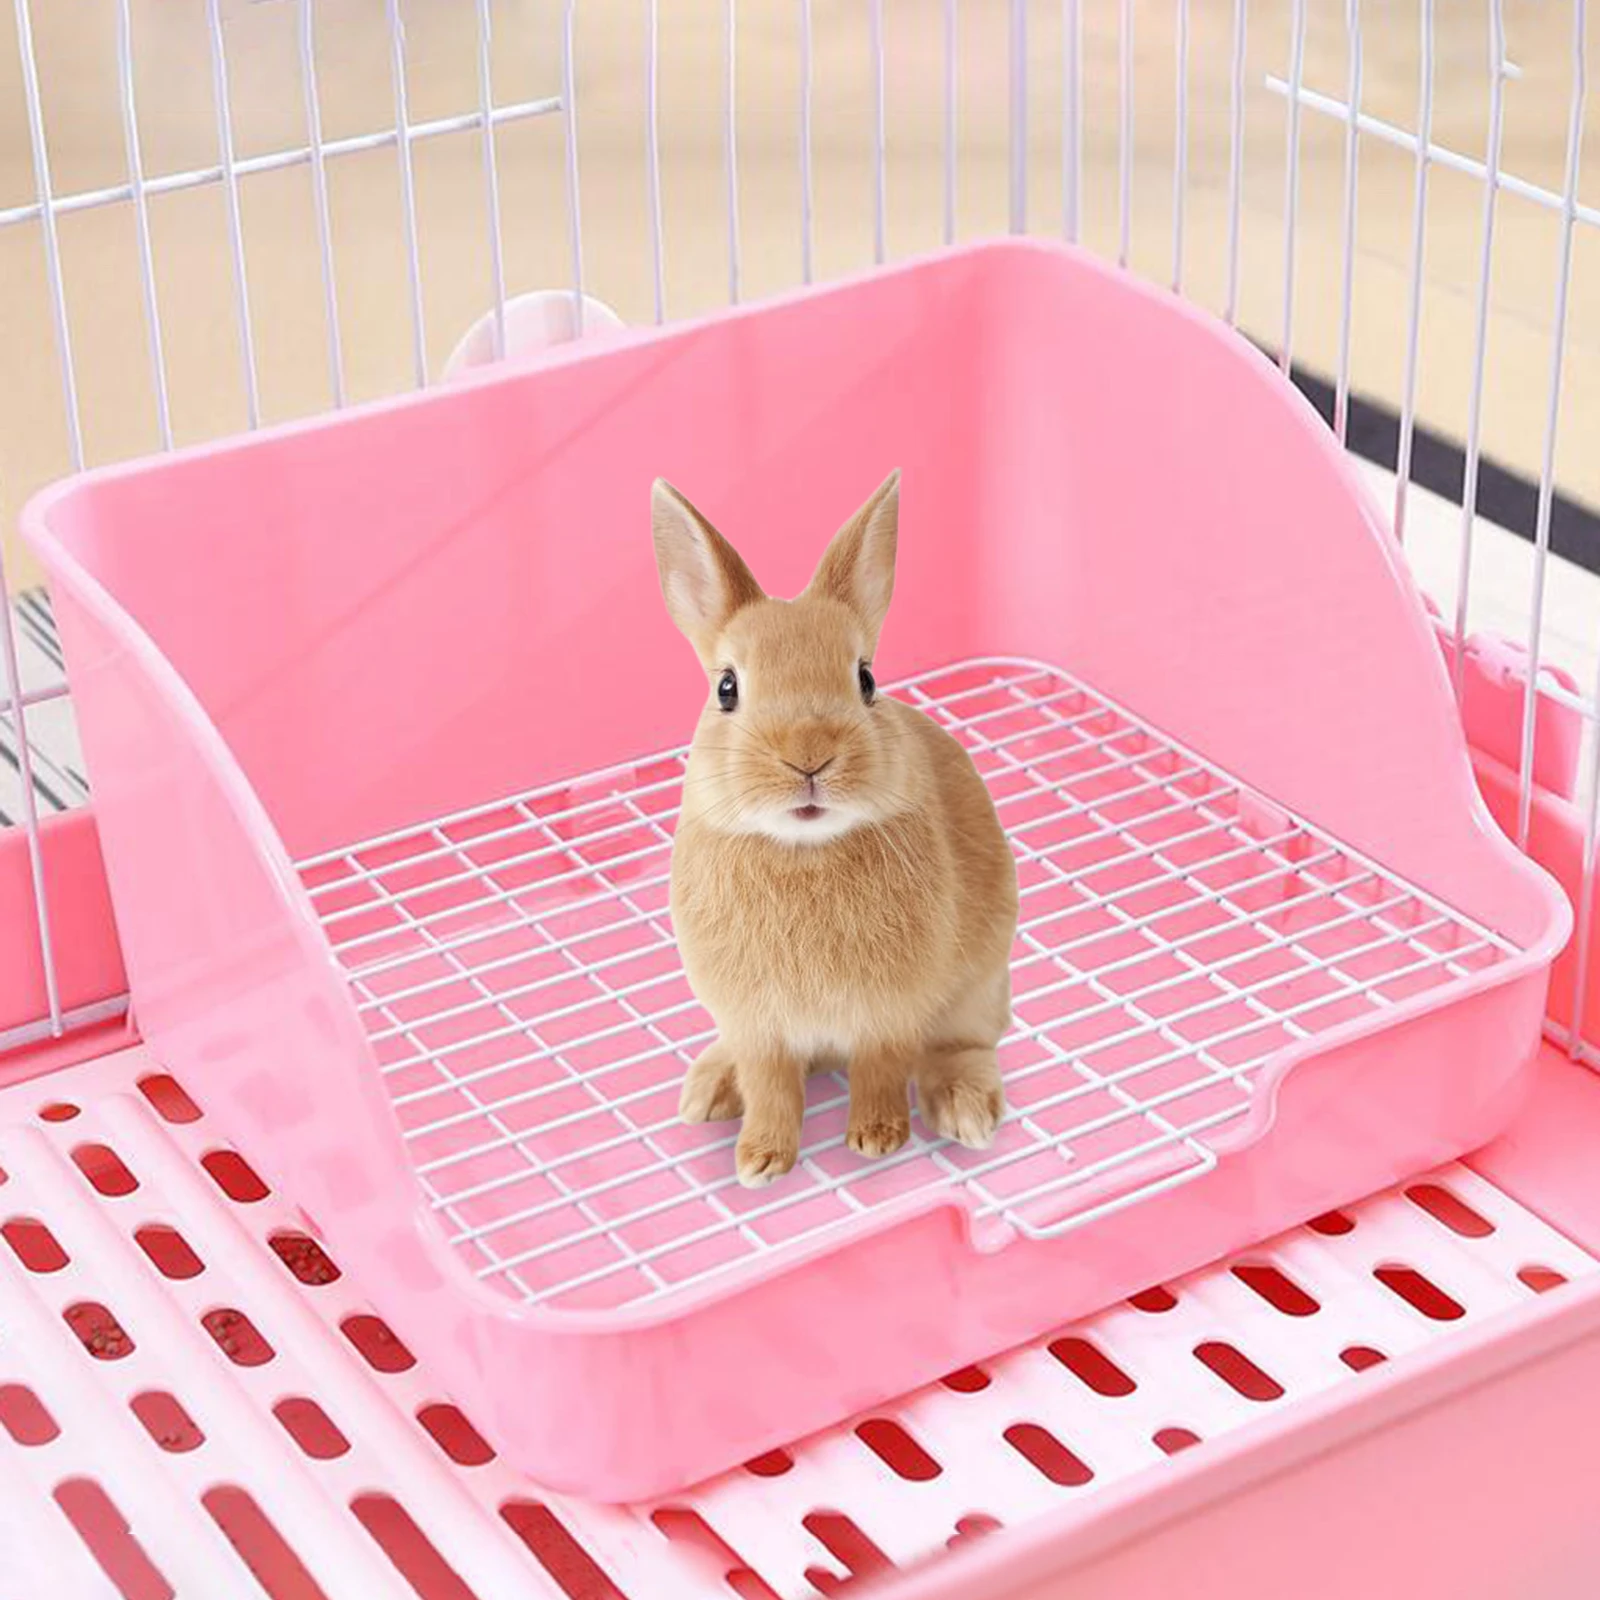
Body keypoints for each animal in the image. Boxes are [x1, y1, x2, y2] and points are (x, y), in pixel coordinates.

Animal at [652, 469, 1019, 1187]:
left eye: (867, 679)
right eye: (727, 688)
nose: (809, 756)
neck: (803, 849)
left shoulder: (888, 1014)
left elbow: (880, 1070)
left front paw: (876, 1139)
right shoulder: (757, 1025)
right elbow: (771, 1087)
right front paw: (761, 1159)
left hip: (979, 986)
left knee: (960, 1045)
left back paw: (966, 1110)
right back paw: (709, 1090)